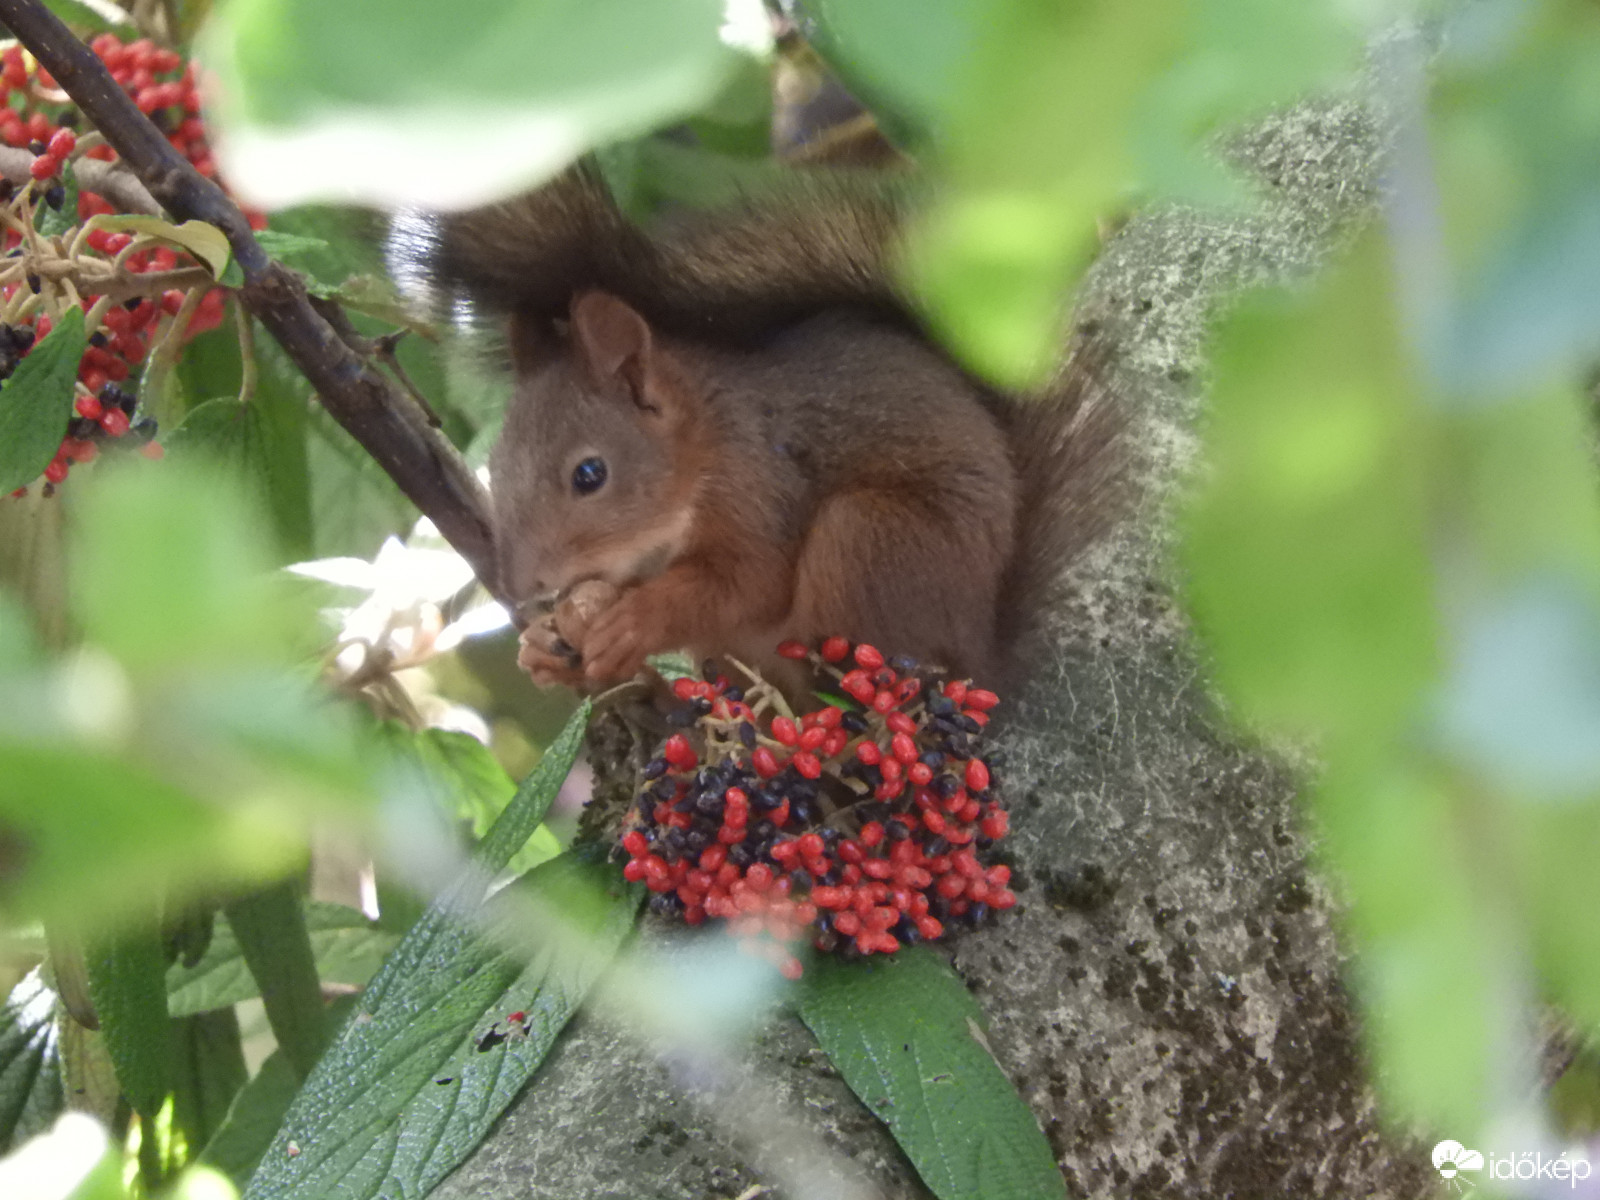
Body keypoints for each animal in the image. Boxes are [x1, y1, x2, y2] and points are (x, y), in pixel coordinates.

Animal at [425, 169, 1126, 694]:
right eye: (495, 468)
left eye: (589, 475)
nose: (522, 589)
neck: (703, 444)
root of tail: (985, 661)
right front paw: (545, 646)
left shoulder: (761, 482)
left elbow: (750, 581)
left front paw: (636, 620)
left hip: (870, 541)